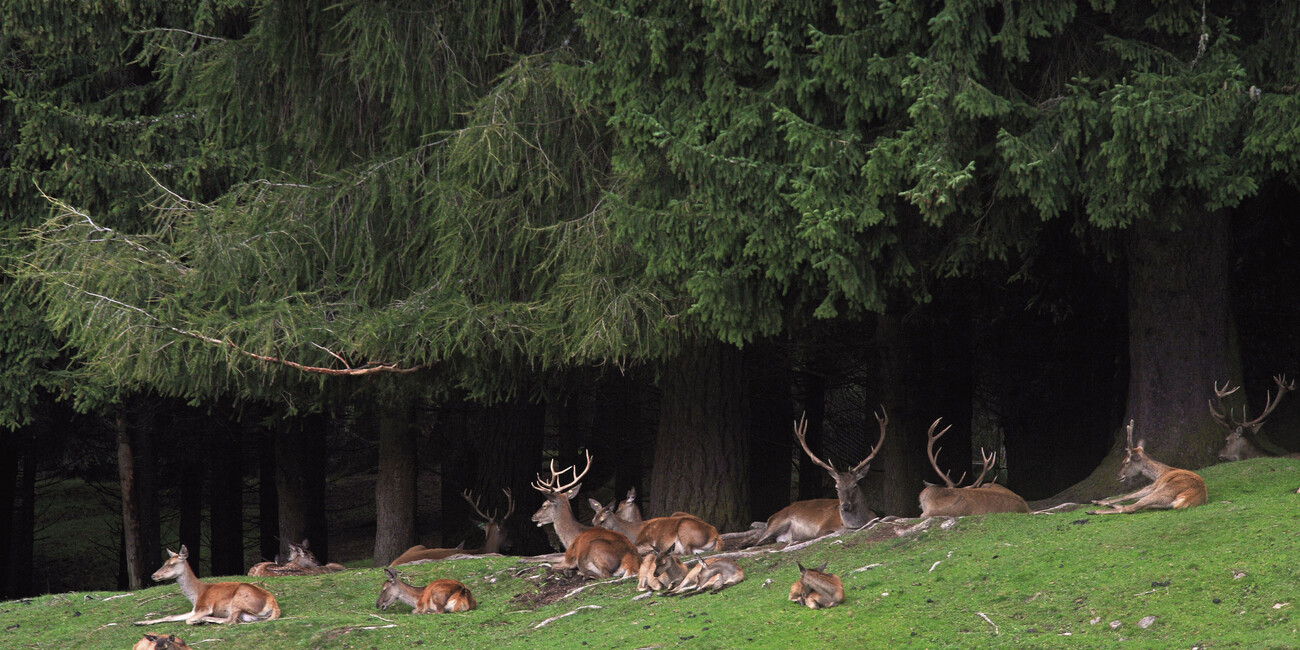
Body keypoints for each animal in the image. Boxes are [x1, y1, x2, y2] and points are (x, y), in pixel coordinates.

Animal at [134, 546, 279, 626]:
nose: (153, 575)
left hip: (239, 598)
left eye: (172, 564)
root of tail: (273, 603)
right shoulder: (194, 609)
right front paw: (139, 622)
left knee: (230, 620)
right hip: (248, 613)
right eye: (165, 562)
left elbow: (188, 619)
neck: (196, 595)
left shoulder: (204, 607)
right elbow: (169, 617)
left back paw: (203, 621)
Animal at [738, 408, 889, 546]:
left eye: (855, 485)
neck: (855, 523)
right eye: (837, 487)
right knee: (754, 542)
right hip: (777, 522)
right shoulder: (824, 528)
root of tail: (771, 517)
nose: (845, 506)